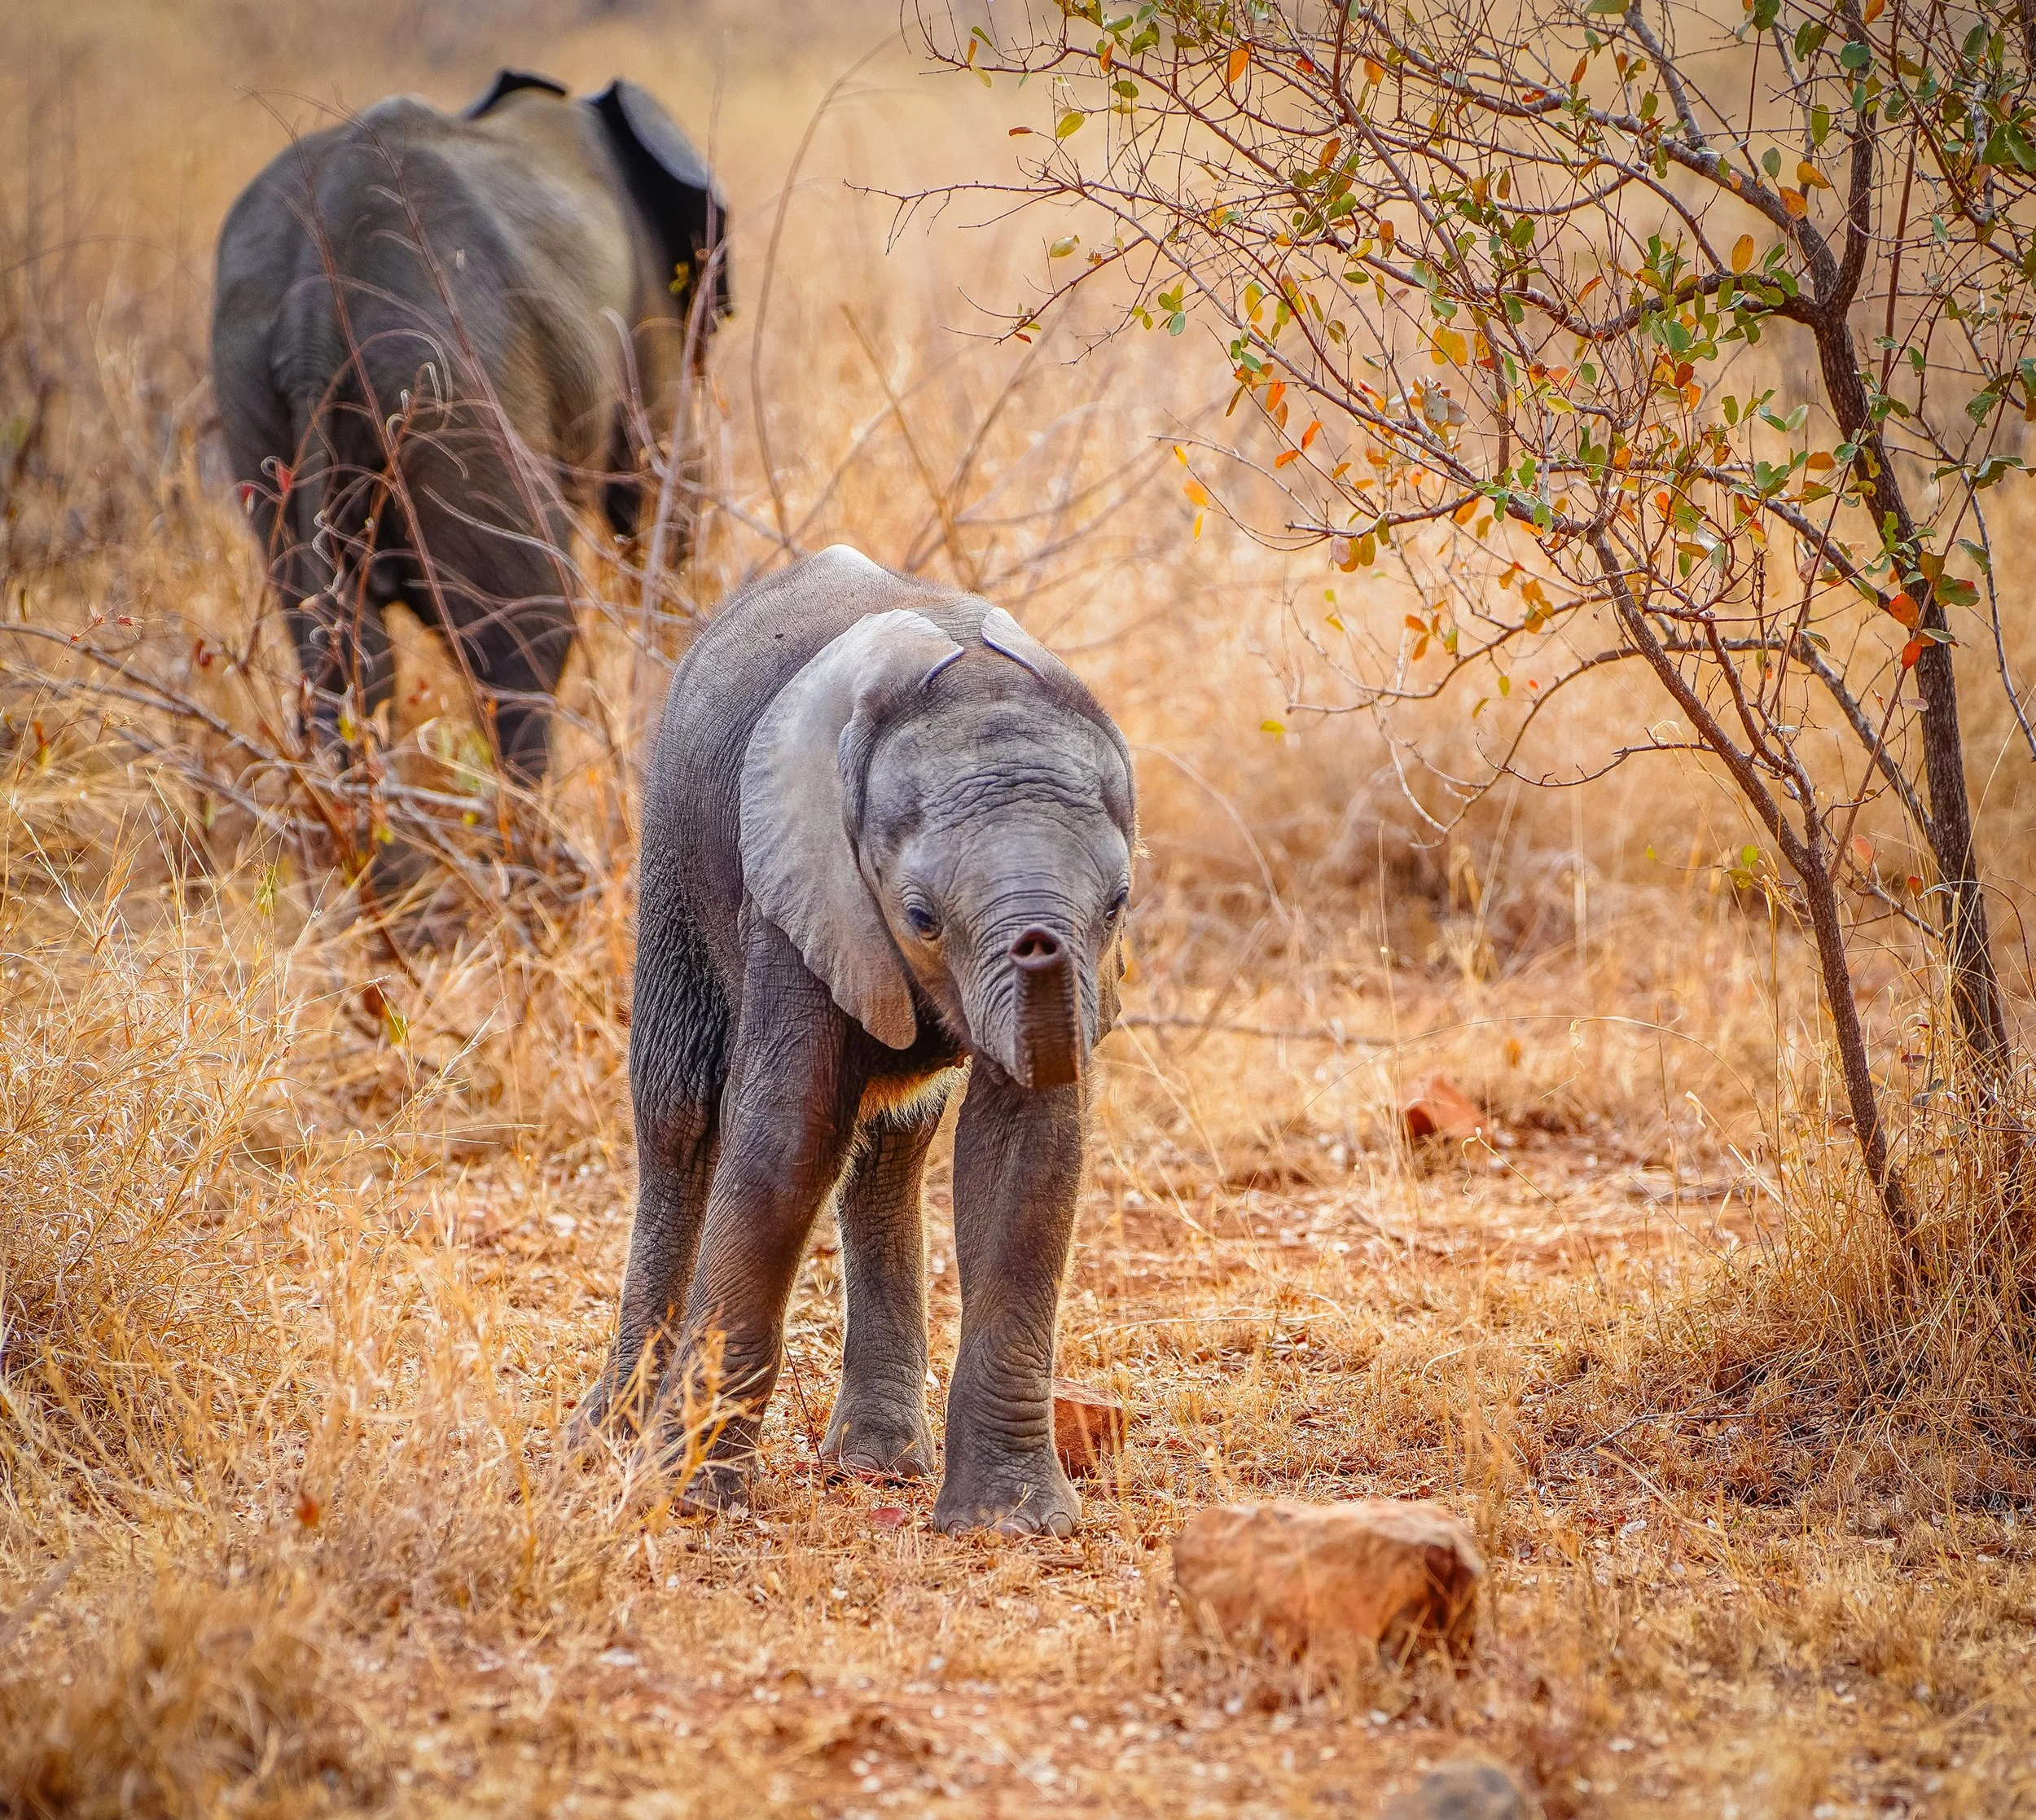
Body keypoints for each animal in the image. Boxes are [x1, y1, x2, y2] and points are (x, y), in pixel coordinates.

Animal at [211, 68, 729, 790]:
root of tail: (314, 304)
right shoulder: (648, 316)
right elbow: (663, 496)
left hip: (254, 389)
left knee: (349, 660)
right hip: (458, 389)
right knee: (525, 643)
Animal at [590, 545, 1136, 1536]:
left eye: (1115, 904)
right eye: (919, 916)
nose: (1042, 944)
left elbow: (1026, 1152)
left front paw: (1007, 1525)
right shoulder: (800, 886)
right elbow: (788, 1135)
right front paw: (684, 1505)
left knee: (892, 1141)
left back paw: (875, 1463)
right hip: (673, 856)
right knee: (678, 1121)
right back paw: (605, 1443)